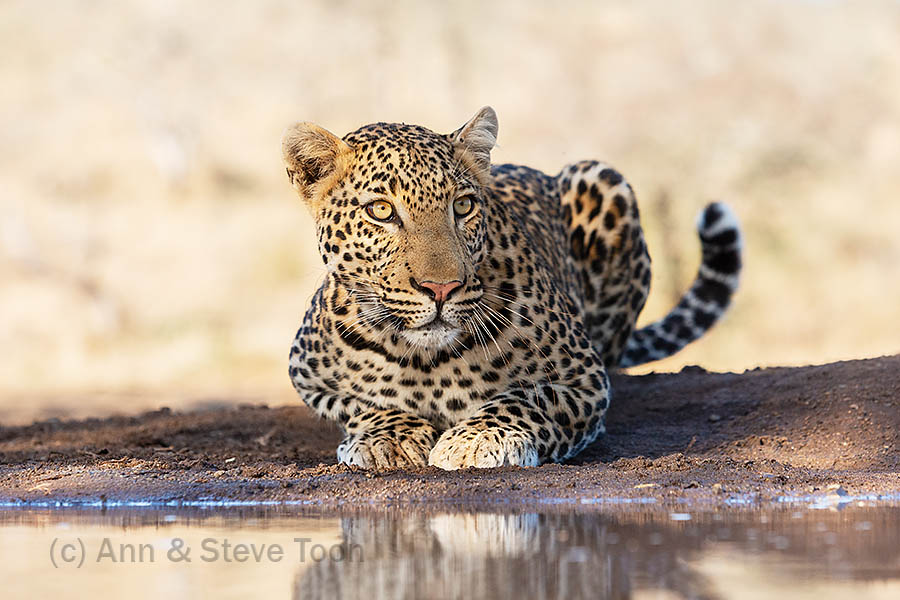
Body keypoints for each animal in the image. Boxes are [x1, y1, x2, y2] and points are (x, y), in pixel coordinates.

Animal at [282, 107, 741, 470]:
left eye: (463, 206)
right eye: (381, 210)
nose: (442, 289)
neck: (425, 361)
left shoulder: (586, 379)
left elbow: (527, 398)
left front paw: (477, 439)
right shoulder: (306, 374)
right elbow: (361, 403)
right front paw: (388, 438)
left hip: (602, 180)